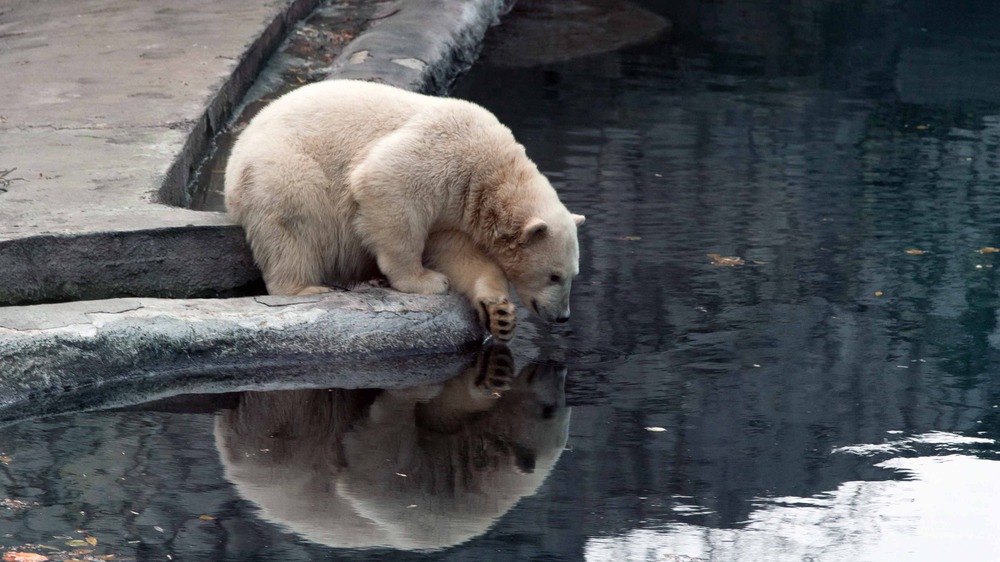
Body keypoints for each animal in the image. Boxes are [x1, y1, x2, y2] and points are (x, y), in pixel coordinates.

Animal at [223, 79, 584, 342]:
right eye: (555, 275)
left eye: (573, 274)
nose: (563, 316)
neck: (493, 172)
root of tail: (237, 151)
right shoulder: (444, 153)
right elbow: (387, 186)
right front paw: (426, 281)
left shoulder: (456, 208)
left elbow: (459, 253)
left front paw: (500, 313)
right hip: (282, 169)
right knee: (294, 224)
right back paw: (305, 287)